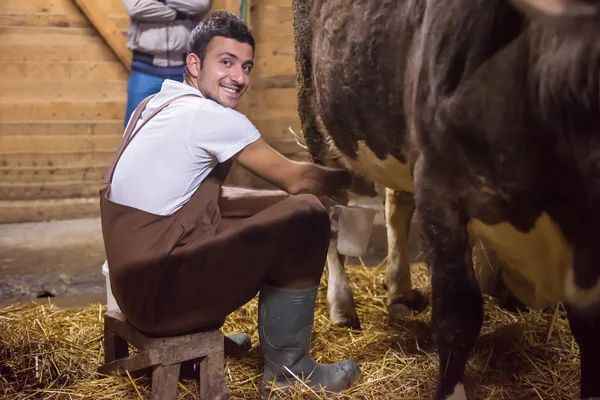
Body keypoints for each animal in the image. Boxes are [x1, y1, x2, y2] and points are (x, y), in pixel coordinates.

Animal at [292, 0, 600, 398]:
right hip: (315, 111)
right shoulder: (439, 187)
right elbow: (458, 315)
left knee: (396, 203)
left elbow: (589, 325)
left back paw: (400, 292)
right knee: (330, 206)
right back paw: (342, 306)